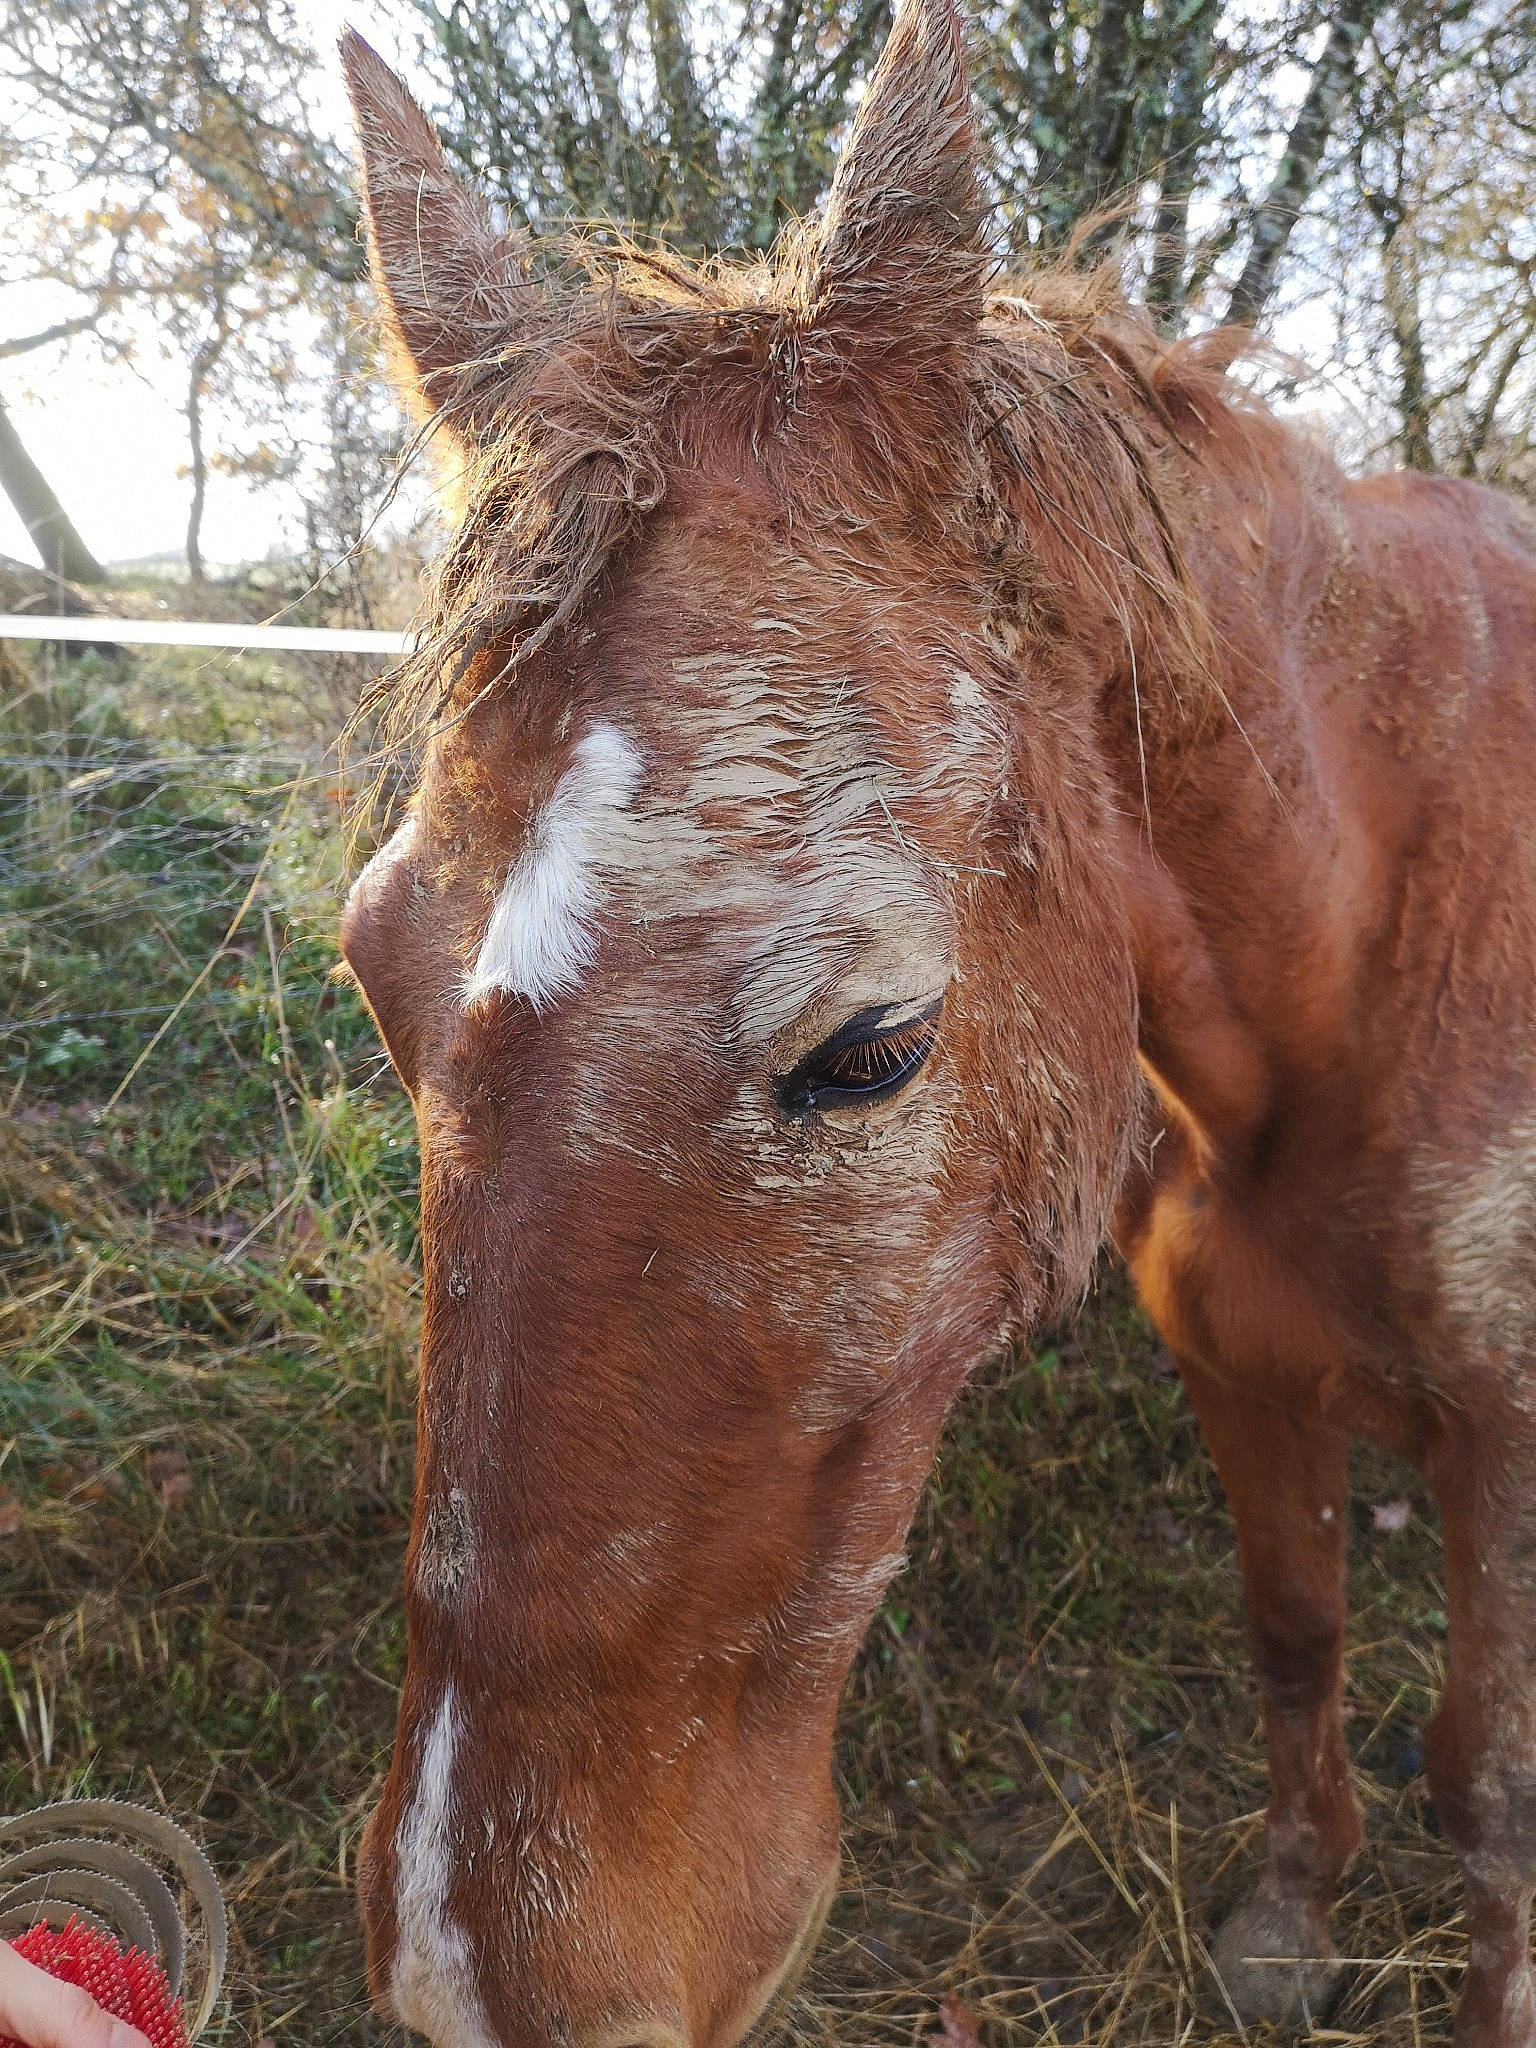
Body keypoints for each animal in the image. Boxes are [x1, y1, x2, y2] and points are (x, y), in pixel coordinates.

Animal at [337, 3, 1536, 2042]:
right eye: (369, 964)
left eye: (873, 1048)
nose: (481, 1970)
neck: (1380, 954)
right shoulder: (1242, 1368)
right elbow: (1295, 1634)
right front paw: (1292, 1913)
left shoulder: (1511, 1450)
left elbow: (1495, 1783)